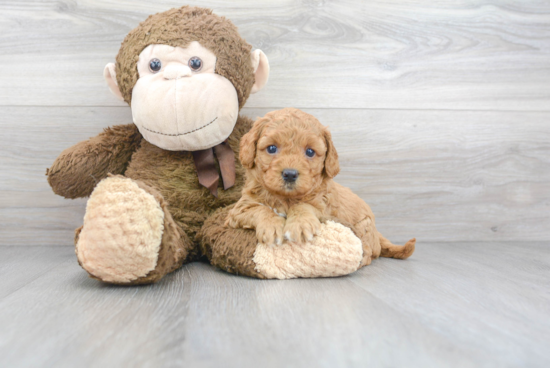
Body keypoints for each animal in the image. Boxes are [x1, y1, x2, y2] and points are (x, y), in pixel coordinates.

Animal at [226, 107, 416, 264]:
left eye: (310, 152)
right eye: (272, 148)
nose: (290, 174)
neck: (286, 199)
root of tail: (377, 233)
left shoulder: (323, 207)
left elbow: (304, 206)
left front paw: (300, 224)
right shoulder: (239, 210)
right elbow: (260, 209)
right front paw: (272, 225)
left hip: (365, 227)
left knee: (369, 252)